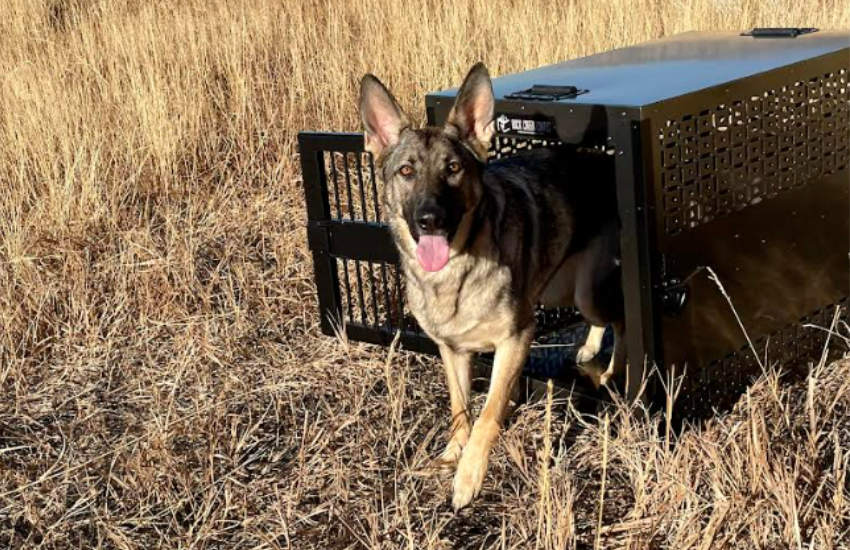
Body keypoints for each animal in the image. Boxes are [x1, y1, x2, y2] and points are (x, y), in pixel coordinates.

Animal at [358, 62, 624, 512]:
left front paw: (469, 476)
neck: (456, 271)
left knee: (619, 319)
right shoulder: (453, 351)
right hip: (559, 289)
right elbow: (460, 408)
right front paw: (452, 453)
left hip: (588, 293)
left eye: (453, 168)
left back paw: (611, 367)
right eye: (406, 171)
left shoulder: (516, 338)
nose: (430, 219)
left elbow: (488, 413)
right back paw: (589, 349)